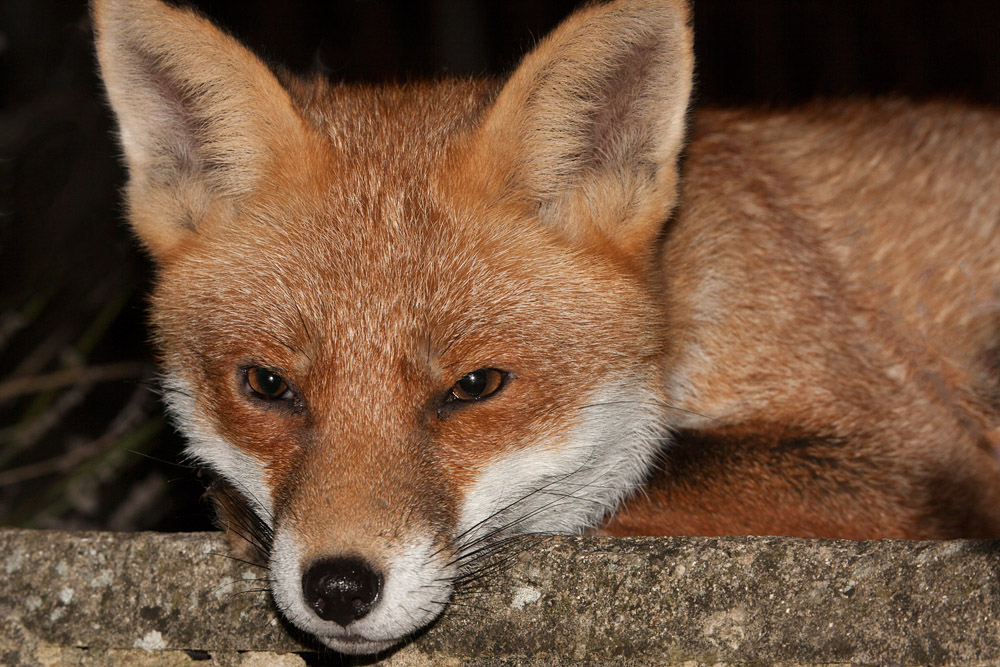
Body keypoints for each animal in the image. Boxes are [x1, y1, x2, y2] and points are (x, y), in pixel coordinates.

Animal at [92, 0, 1000, 655]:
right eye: (267, 385)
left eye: (476, 386)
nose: (339, 587)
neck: (688, 306)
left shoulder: (911, 464)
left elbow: (637, 479)